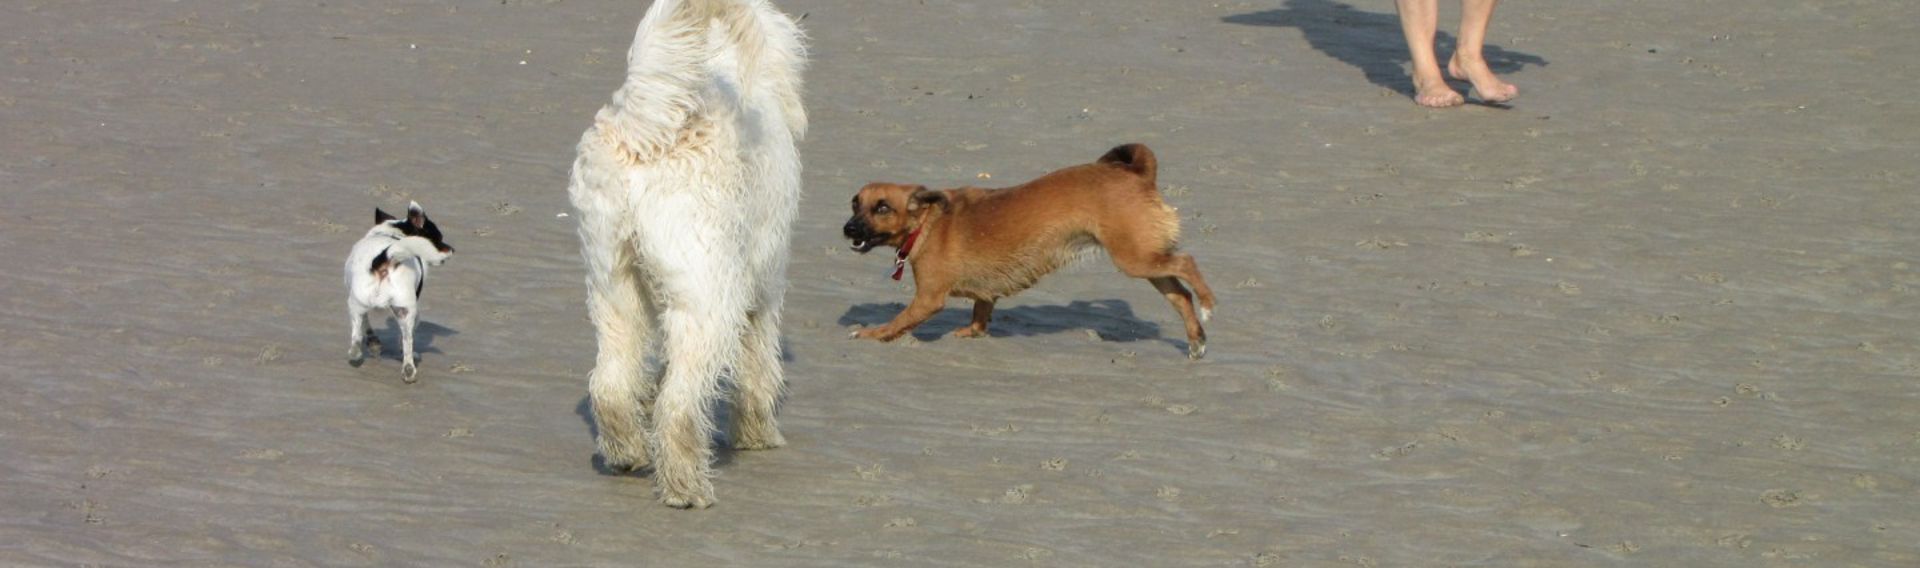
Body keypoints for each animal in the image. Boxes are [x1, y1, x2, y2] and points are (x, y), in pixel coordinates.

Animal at [343, 199, 451, 381]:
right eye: (439, 238)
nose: (451, 249)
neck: (395, 233)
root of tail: (383, 259)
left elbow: (366, 324)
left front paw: (373, 342)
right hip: (406, 309)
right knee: (407, 340)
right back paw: (408, 367)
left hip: (357, 302)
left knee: (357, 336)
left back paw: (359, 352)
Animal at [568, 0, 810, 506]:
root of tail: (645, 135)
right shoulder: (764, 287)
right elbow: (758, 364)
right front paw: (758, 433)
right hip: (709, 300)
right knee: (678, 405)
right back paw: (687, 488)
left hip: (612, 286)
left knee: (609, 385)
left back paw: (628, 452)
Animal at [840, 142, 1213, 355]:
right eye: (855, 204)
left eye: (882, 208)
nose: (848, 229)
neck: (927, 221)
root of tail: (1138, 174)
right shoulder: (984, 294)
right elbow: (980, 315)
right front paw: (972, 333)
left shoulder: (928, 299)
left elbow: (897, 322)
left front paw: (872, 333)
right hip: (1146, 258)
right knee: (1180, 294)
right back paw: (1196, 339)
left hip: (1135, 258)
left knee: (1187, 264)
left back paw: (1208, 305)